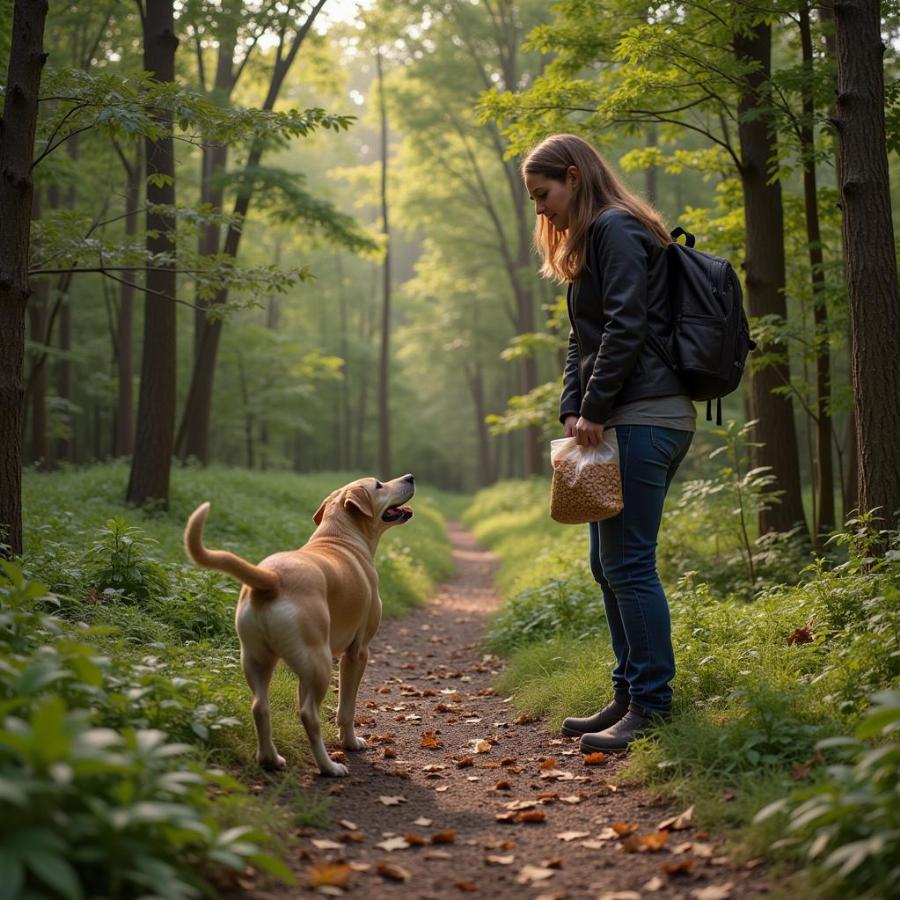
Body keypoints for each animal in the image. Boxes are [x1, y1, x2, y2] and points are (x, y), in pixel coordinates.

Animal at [188, 474, 420, 776]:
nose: (410, 477)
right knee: (309, 714)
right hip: (320, 663)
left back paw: (270, 759)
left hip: (257, 659)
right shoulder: (357, 652)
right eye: (379, 485)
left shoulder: (305, 671)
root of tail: (271, 577)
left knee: (260, 707)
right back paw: (329, 766)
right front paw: (350, 743)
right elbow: (346, 709)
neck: (339, 536)